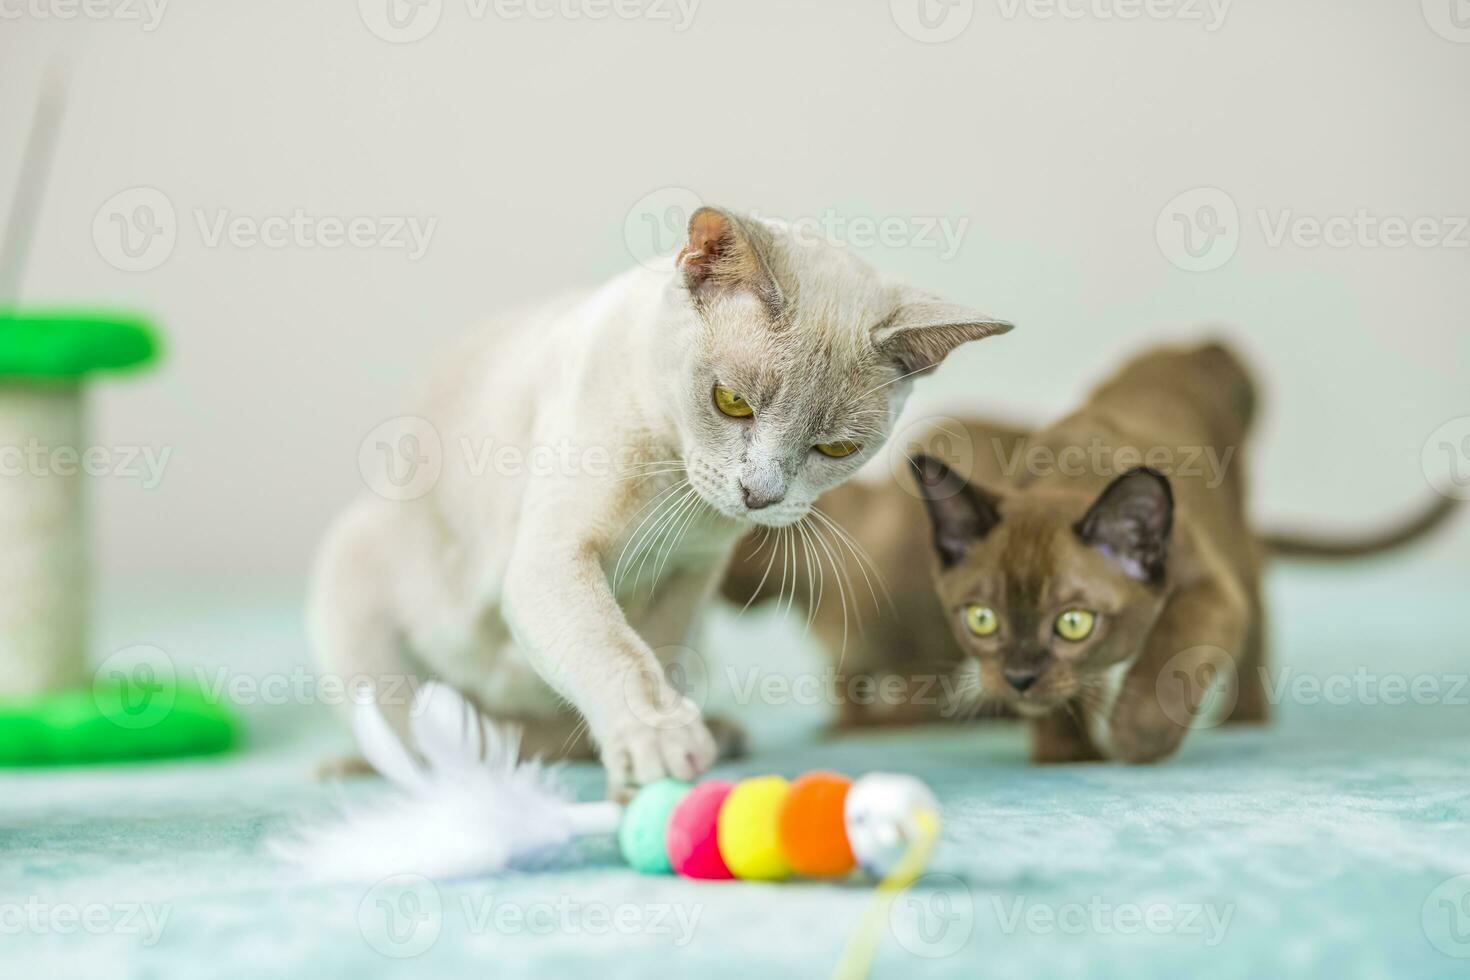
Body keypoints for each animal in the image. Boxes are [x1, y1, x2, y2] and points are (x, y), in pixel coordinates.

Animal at [308, 208, 1011, 799]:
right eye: (732, 403)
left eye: (834, 447)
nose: (760, 496)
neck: (677, 491)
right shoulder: (552, 560)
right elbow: (616, 652)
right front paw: (660, 743)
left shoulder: (688, 581)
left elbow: (656, 659)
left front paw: (657, 771)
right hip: (357, 590)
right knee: (420, 734)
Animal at [723, 345, 1458, 764]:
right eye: (982, 619)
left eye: (1072, 623)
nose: (1018, 678)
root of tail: (1198, 348)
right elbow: (1066, 695)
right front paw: (1064, 757)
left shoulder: (1205, 593)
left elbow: (1165, 666)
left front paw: (1132, 741)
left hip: (1237, 559)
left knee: (1252, 627)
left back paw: (1241, 721)